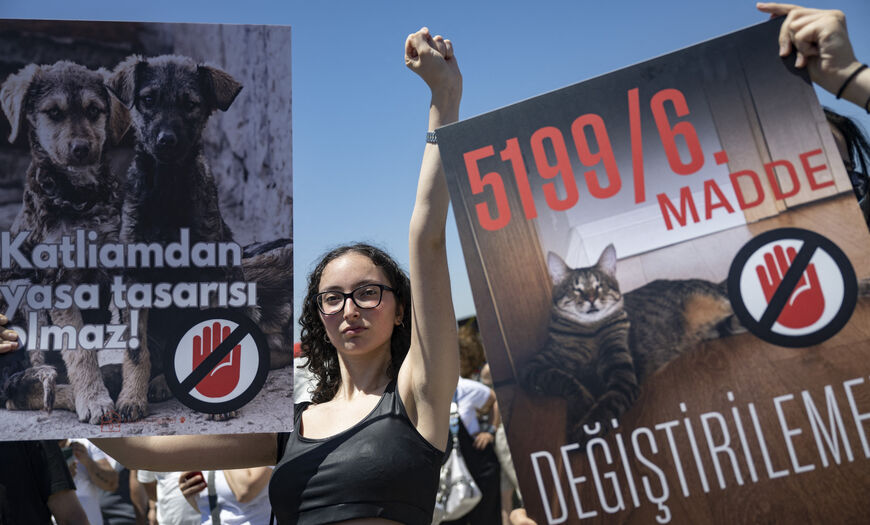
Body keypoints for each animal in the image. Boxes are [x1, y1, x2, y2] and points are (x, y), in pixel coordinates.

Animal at [520, 244, 740, 444]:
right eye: (577, 290)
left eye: (600, 286)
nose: (591, 298)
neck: (590, 329)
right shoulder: (534, 367)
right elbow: (563, 379)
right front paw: (582, 402)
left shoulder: (623, 378)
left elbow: (604, 406)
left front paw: (585, 428)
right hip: (719, 328)